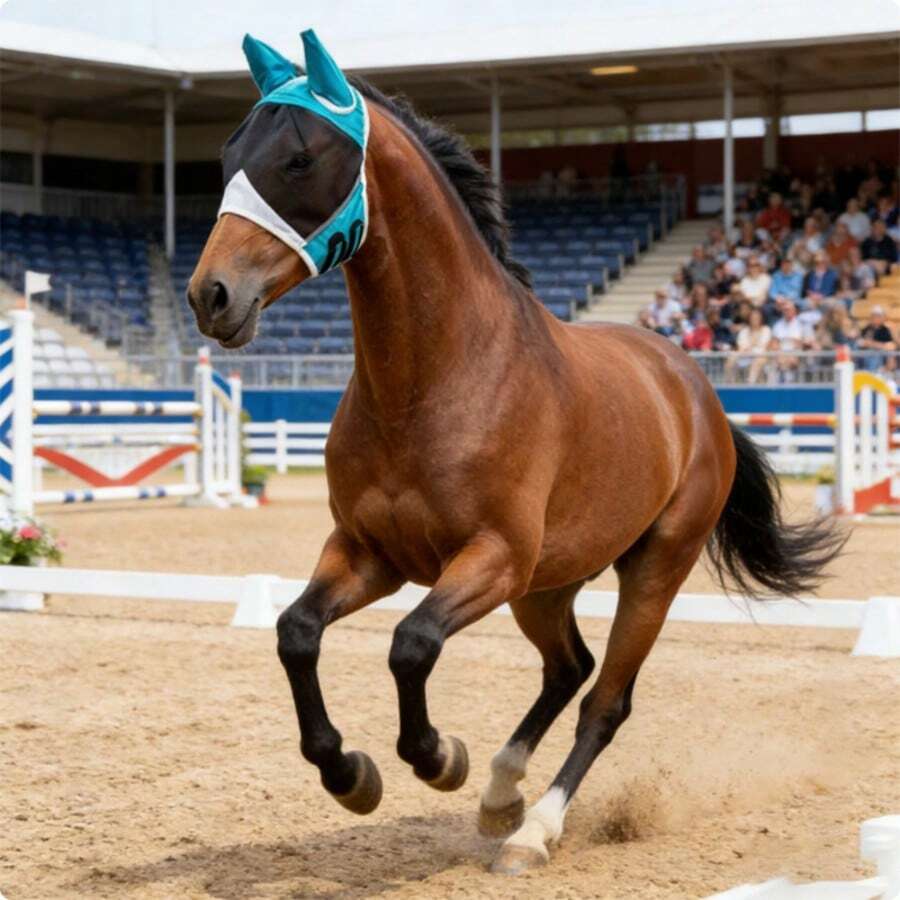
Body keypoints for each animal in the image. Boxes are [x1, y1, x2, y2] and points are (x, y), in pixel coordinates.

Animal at [187, 30, 844, 875]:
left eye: (299, 158)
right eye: (230, 154)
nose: (211, 296)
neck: (434, 379)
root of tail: (695, 388)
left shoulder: (490, 556)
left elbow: (412, 644)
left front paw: (439, 758)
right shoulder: (371, 553)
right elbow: (296, 633)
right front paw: (351, 775)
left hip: (649, 571)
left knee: (605, 700)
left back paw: (531, 833)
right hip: (547, 584)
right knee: (569, 667)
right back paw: (501, 795)